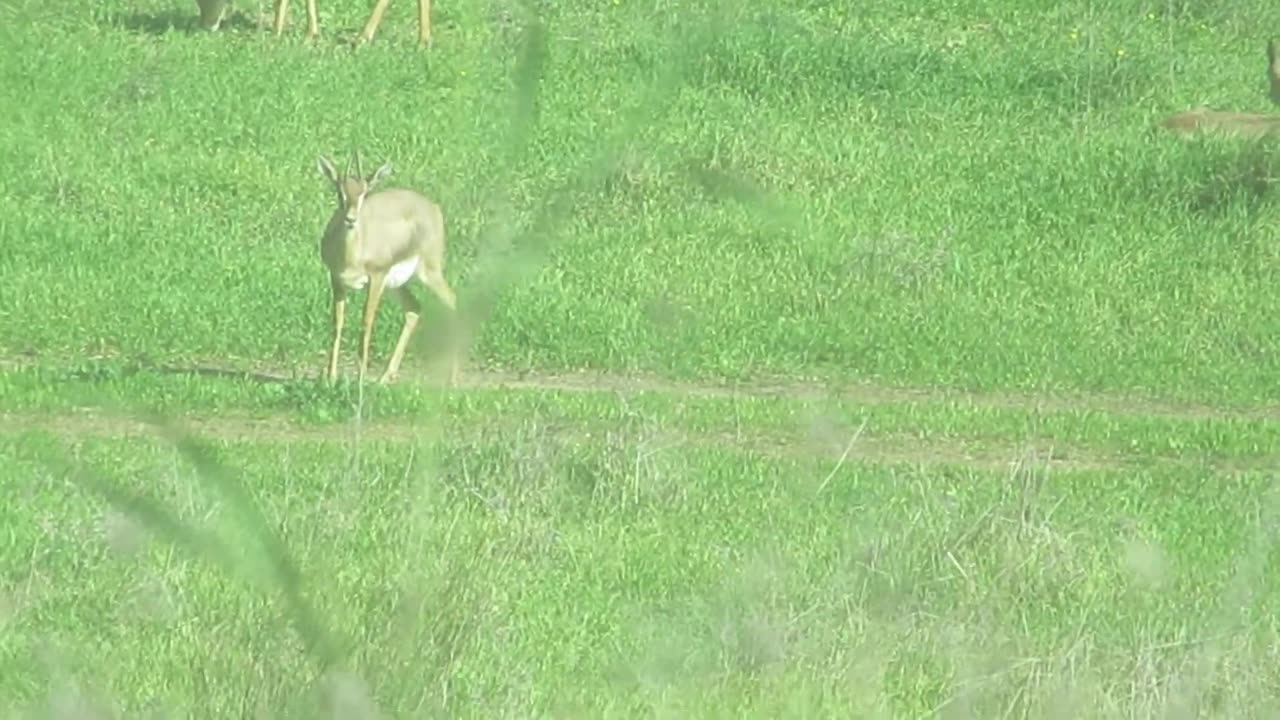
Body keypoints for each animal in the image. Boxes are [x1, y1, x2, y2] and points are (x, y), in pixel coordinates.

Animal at [316, 151, 460, 386]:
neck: (352, 255)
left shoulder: (376, 277)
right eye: (340, 191)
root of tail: (432, 207)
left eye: (365, 193)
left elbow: (367, 322)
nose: (350, 219)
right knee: (414, 308)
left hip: (428, 272)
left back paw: (452, 379)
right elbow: (337, 323)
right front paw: (330, 377)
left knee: (452, 300)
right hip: (395, 285)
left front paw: (360, 378)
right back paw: (384, 377)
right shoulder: (336, 279)